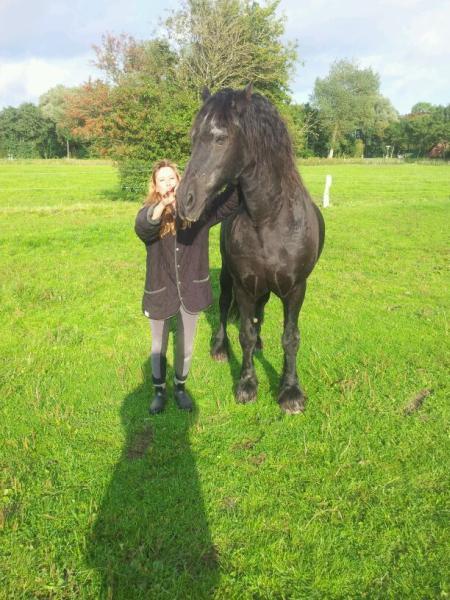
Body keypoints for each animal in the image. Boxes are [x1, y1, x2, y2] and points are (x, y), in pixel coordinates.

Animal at [176, 83, 325, 414]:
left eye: (220, 138)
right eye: (192, 137)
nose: (184, 201)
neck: (269, 218)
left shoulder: (296, 289)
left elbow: (290, 338)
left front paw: (290, 392)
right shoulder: (243, 285)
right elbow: (244, 333)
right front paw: (247, 384)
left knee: (261, 311)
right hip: (228, 278)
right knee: (223, 308)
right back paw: (220, 347)